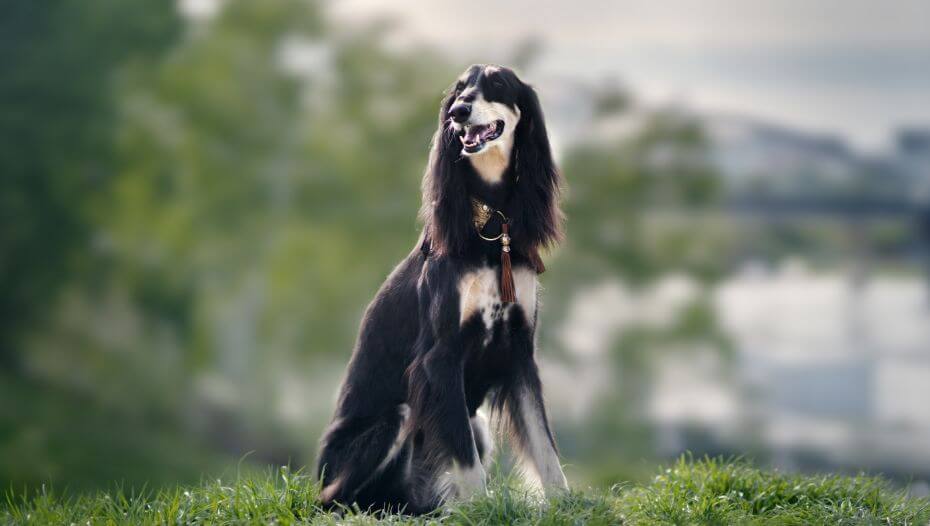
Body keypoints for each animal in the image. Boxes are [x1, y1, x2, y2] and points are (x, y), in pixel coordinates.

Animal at [314, 65, 564, 516]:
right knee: (333, 499)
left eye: (497, 85)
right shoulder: (441, 355)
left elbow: (544, 443)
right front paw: (482, 508)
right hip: (392, 420)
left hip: (475, 425)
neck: (490, 225)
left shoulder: (519, 350)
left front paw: (568, 502)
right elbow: (464, 457)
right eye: (460, 89)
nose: (458, 112)